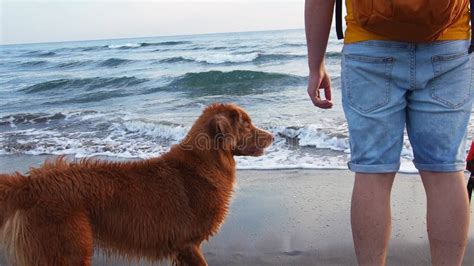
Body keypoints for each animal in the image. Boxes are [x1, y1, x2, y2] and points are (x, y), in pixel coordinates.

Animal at [0, 103, 272, 264]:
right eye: (246, 124)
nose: (274, 136)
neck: (202, 164)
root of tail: (30, 183)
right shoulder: (188, 244)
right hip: (69, 249)